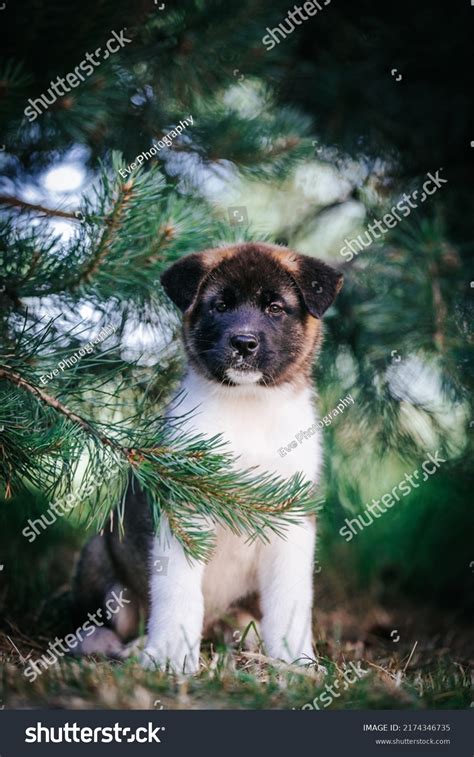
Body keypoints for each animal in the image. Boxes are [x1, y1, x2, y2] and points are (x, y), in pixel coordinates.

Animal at [73, 242, 340, 672]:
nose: (243, 343)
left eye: (275, 308)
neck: (248, 406)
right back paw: (114, 644)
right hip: (102, 552)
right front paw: (170, 655)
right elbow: (178, 592)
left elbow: (290, 599)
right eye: (221, 305)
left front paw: (295, 658)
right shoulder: (182, 510)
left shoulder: (292, 518)